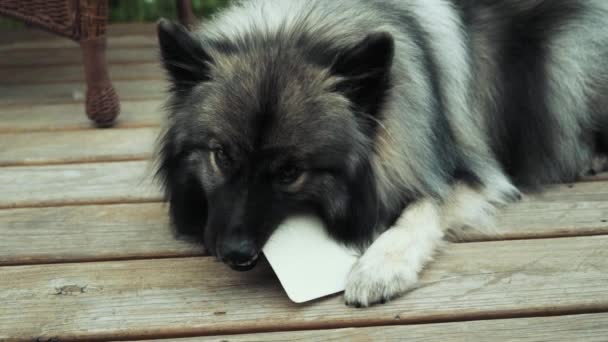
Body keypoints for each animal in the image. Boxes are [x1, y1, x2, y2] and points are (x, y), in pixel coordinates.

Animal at [156, 0, 608, 306]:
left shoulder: (465, 174)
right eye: (221, 155)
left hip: (567, 62)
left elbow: (421, 209)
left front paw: (378, 268)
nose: (234, 253)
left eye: (289, 172)